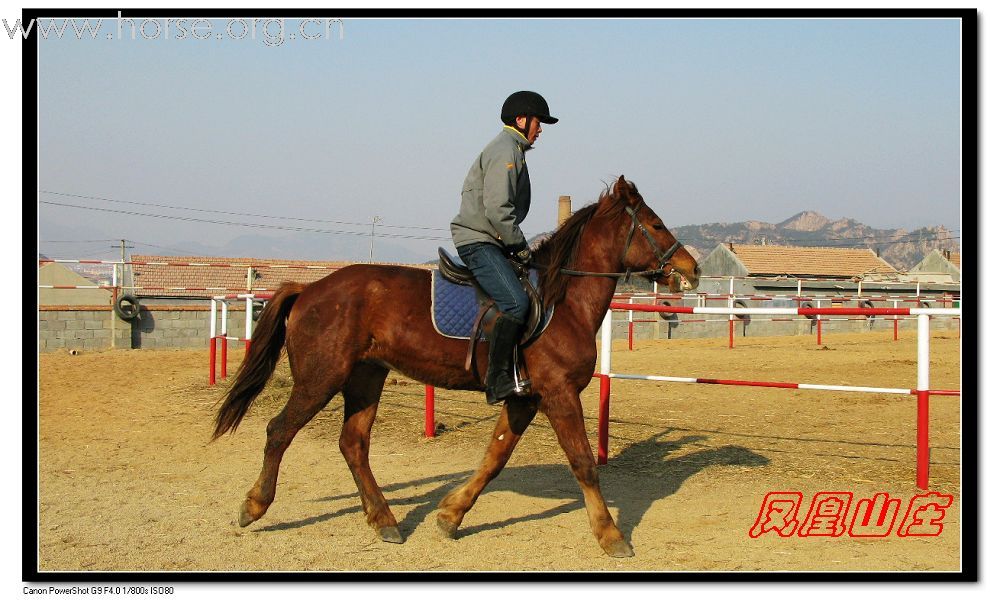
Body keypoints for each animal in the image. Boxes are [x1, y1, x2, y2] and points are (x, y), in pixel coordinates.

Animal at [213, 175, 696, 556]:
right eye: (655, 224)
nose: (690, 269)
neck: (563, 302)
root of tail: (309, 289)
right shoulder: (558, 394)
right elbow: (582, 462)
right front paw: (611, 535)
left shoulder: (525, 397)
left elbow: (494, 457)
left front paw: (450, 515)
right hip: (320, 378)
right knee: (279, 430)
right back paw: (254, 506)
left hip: (366, 377)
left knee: (353, 444)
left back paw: (385, 520)